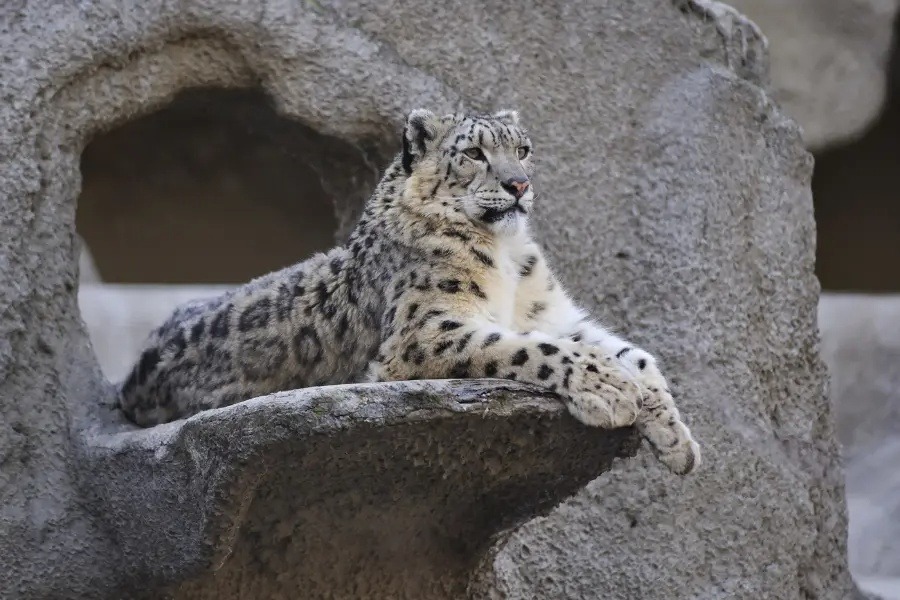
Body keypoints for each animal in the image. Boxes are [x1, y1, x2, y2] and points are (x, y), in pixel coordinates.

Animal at [117, 108, 701, 475]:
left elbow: (633, 353)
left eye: (524, 149)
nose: (519, 185)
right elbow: (534, 349)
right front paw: (610, 391)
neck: (510, 259)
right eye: (474, 153)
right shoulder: (427, 330)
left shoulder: (553, 315)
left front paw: (677, 440)